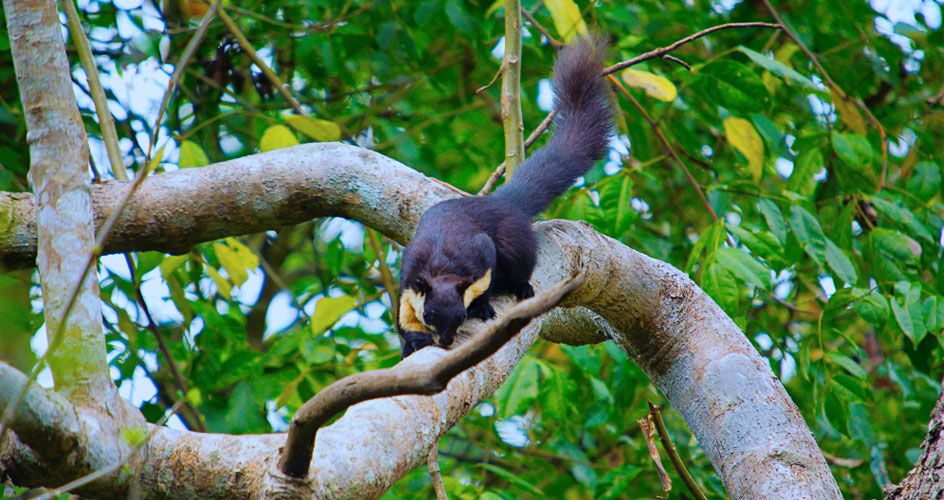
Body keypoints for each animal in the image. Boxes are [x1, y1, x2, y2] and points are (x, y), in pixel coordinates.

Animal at [396, 37, 612, 358]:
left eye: (460, 315)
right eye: (429, 315)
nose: (446, 341)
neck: (441, 266)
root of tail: (501, 202)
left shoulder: (481, 255)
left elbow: (484, 283)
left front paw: (482, 306)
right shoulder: (409, 274)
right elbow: (402, 317)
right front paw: (412, 341)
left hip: (515, 242)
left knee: (519, 265)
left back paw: (522, 288)